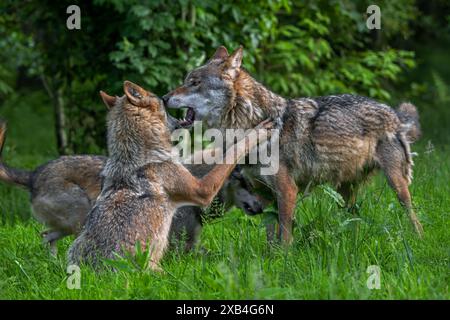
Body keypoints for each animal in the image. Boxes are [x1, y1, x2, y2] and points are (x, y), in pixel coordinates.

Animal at [68, 80, 272, 270]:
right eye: (161, 101)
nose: (166, 98)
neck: (134, 155)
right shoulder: (202, 191)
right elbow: (232, 153)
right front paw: (258, 131)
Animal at [163, 46, 424, 244]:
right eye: (186, 81)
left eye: (194, 83)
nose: (164, 98)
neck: (251, 121)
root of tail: (394, 114)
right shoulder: (263, 193)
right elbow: (271, 230)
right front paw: (271, 260)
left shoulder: (288, 189)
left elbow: (286, 234)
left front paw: (284, 259)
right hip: (345, 193)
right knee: (354, 218)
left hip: (397, 185)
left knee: (412, 214)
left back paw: (418, 239)